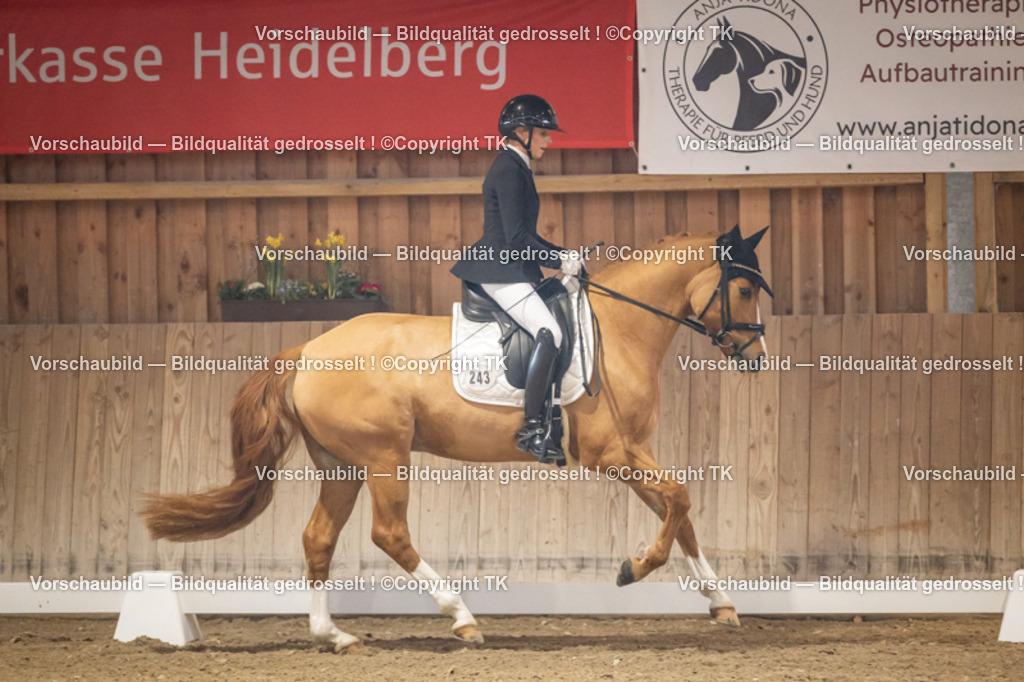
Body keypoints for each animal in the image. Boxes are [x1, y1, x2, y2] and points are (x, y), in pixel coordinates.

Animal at [141, 225, 772, 652]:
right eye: (744, 290)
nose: (758, 357)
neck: (618, 330)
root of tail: (306, 351)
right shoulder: (609, 454)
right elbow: (680, 501)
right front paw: (633, 569)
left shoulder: (634, 449)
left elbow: (679, 508)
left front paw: (721, 603)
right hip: (384, 456)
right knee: (390, 534)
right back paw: (462, 615)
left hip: (341, 465)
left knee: (319, 538)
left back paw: (335, 635)